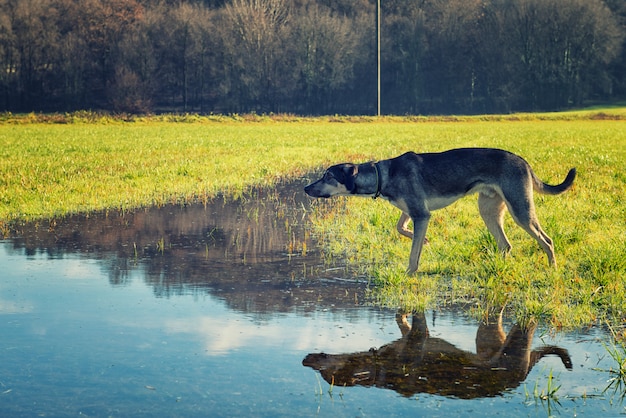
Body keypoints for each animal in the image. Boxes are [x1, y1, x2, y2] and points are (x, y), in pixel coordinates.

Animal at [304, 148, 576, 274]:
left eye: (328, 176)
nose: (306, 188)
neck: (382, 175)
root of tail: (524, 161)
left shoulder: (421, 215)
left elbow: (413, 255)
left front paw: (410, 272)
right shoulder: (413, 212)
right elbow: (400, 228)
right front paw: (424, 241)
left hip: (520, 209)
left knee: (546, 240)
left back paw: (552, 270)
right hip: (488, 210)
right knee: (505, 245)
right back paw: (496, 270)